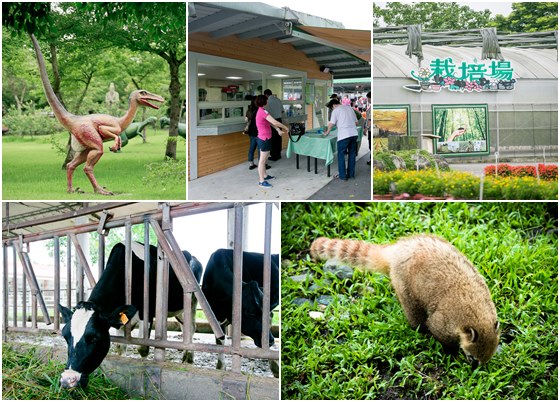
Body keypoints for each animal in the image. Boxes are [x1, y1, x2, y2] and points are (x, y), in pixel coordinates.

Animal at [56, 240, 201, 388]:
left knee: (191, 328)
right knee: (184, 327)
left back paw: (188, 358)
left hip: (192, 302)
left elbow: (142, 348)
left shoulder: (147, 314)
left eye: (95, 337)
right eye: (65, 336)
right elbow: (121, 347)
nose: (67, 379)